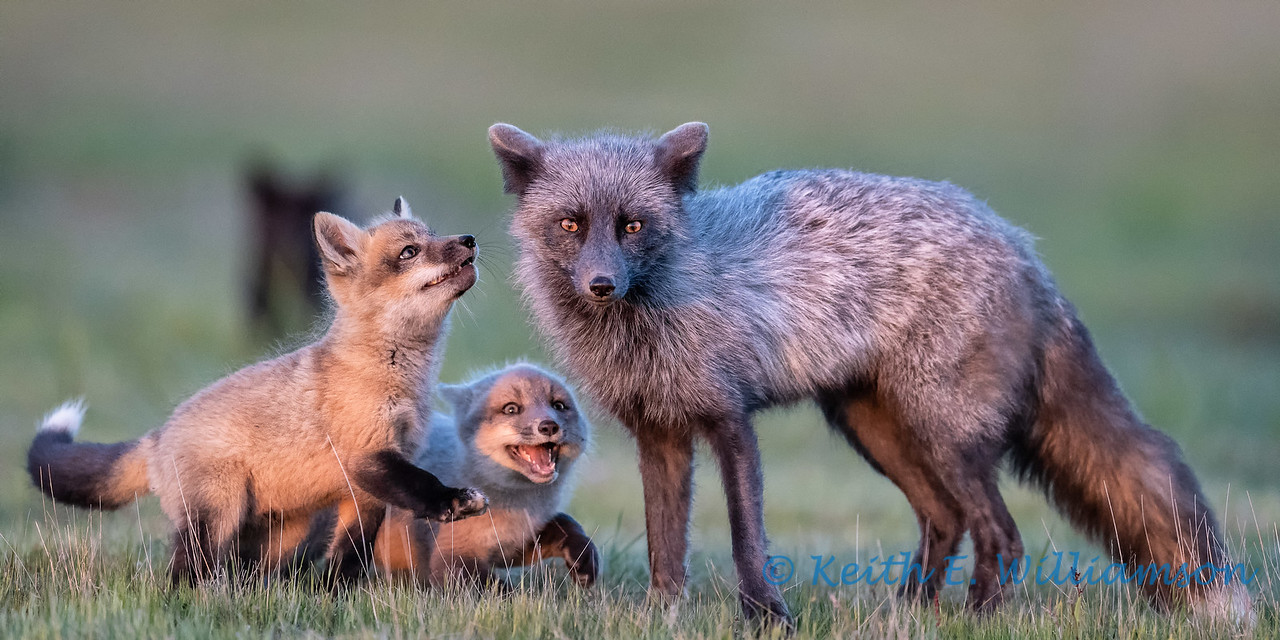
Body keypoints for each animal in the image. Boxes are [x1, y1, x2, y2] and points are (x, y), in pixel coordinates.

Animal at [27, 198, 490, 586]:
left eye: (433, 235)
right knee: (182, 575)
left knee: (242, 572)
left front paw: (334, 596)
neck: (392, 376)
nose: (469, 239)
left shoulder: (365, 491)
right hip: (217, 515)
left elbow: (350, 556)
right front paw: (455, 501)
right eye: (409, 252)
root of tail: (158, 436)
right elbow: (423, 484)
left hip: (278, 537)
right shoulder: (369, 457)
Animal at [360, 363, 598, 588]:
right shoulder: (452, 560)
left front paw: (585, 560)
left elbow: (566, 522)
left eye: (558, 405)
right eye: (511, 409)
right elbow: (503, 591)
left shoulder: (513, 544)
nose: (548, 426)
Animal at [487, 122, 1253, 629]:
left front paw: (767, 618)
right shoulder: (661, 432)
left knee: (1001, 535)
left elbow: (744, 536)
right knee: (946, 520)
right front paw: (662, 615)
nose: (601, 285)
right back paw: (910, 612)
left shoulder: (731, 421)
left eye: (634, 226)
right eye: (571, 225)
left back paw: (974, 621)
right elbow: (664, 542)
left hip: (945, 436)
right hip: (876, 429)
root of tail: (1019, 244)